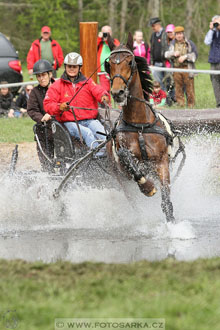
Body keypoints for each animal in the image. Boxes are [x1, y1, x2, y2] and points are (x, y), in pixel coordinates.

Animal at [105, 33, 176, 223]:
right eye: (109, 64)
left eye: (130, 62)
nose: (118, 92)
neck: (140, 126)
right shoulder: (124, 164)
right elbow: (126, 156)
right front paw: (148, 187)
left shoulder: (161, 161)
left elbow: (166, 200)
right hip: (121, 179)